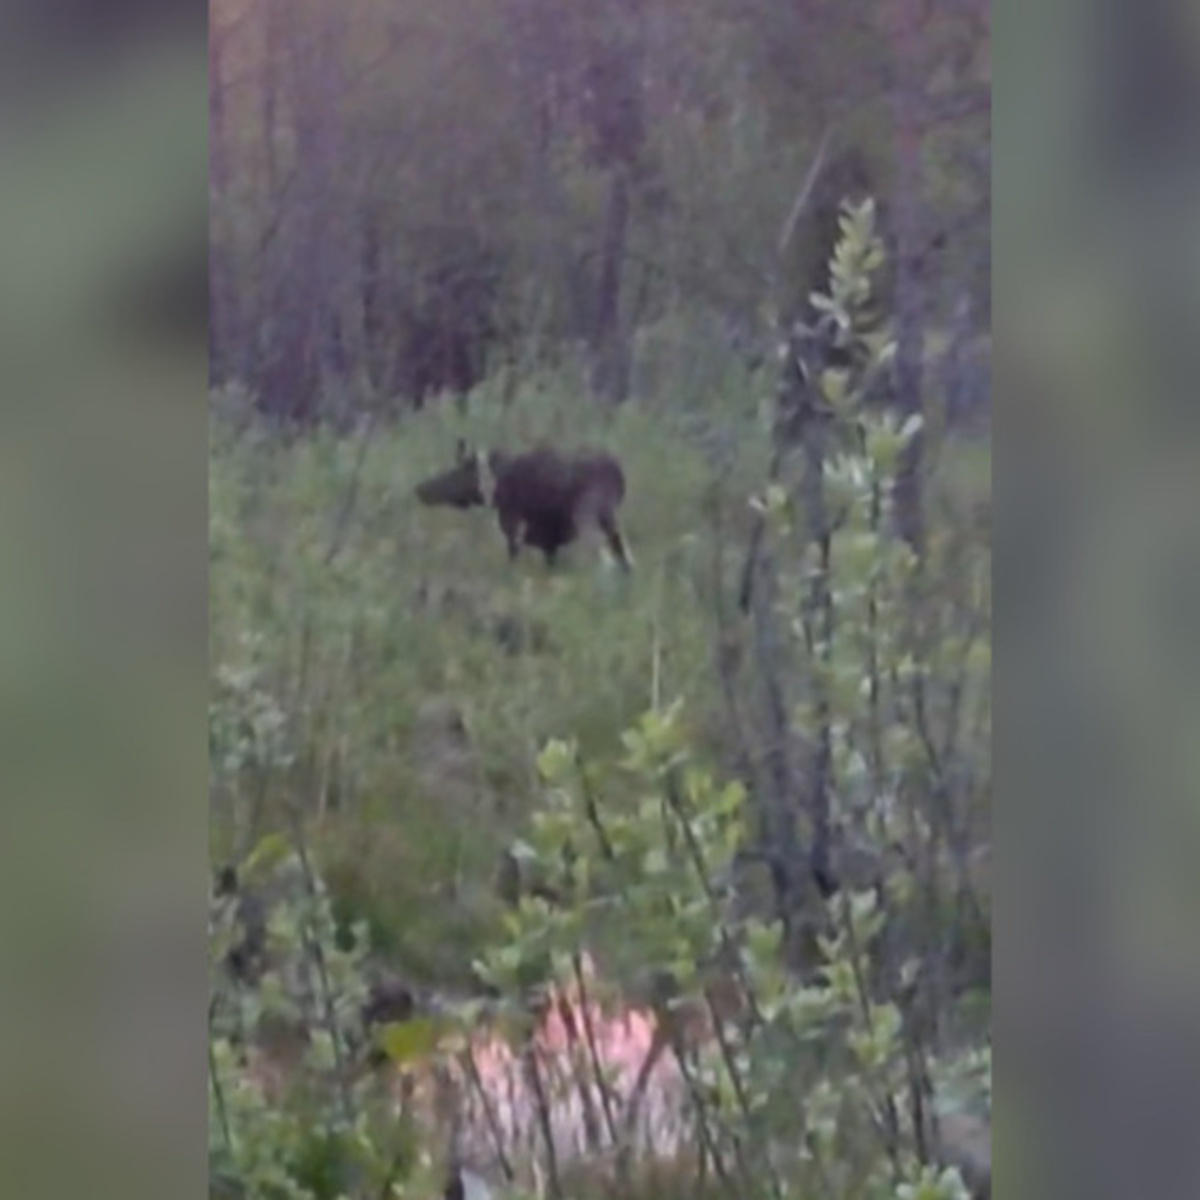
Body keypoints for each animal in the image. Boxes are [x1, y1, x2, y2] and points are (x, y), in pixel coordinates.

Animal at [415, 441, 633, 571]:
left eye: (455, 472)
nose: (420, 489)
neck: (495, 489)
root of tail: (618, 473)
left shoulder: (514, 529)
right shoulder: (550, 544)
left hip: (587, 512)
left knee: (599, 550)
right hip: (611, 520)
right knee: (623, 556)